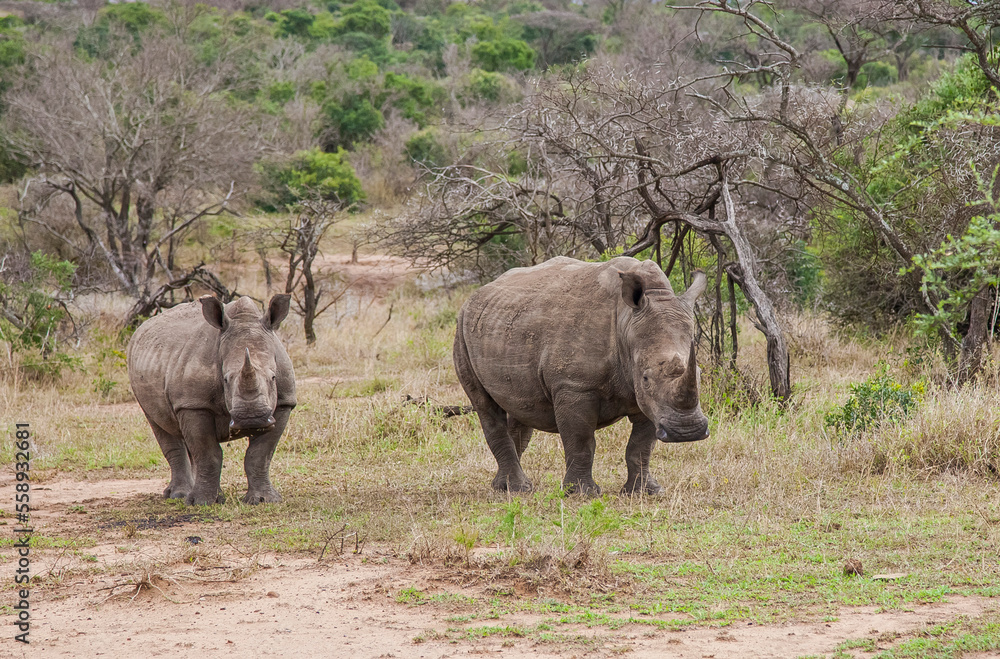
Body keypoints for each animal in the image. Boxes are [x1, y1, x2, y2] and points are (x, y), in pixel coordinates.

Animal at [127, 295, 296, 506]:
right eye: (225, 379)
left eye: (273, 377)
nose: (252, 419)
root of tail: (141, 329)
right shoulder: (193, 404)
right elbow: (208, 452)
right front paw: (201, 502)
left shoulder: (284, 403)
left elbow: (260, 454)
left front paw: (264, 500)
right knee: (161, 426)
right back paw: (180, 495)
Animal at [453, 256, 709, 495]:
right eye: (646, 378)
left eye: (699, 374)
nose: (687, 431)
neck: (626, 321)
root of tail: (476, 295)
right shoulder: (575, 386)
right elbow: (581, 440)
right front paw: (581, 493)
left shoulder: (648, 400)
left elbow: (641, 446)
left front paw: (645, 491)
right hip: (461, 330)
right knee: (485, 405)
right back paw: (517, 488)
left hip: (506, 324)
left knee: (520, 405)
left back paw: (507, 486)